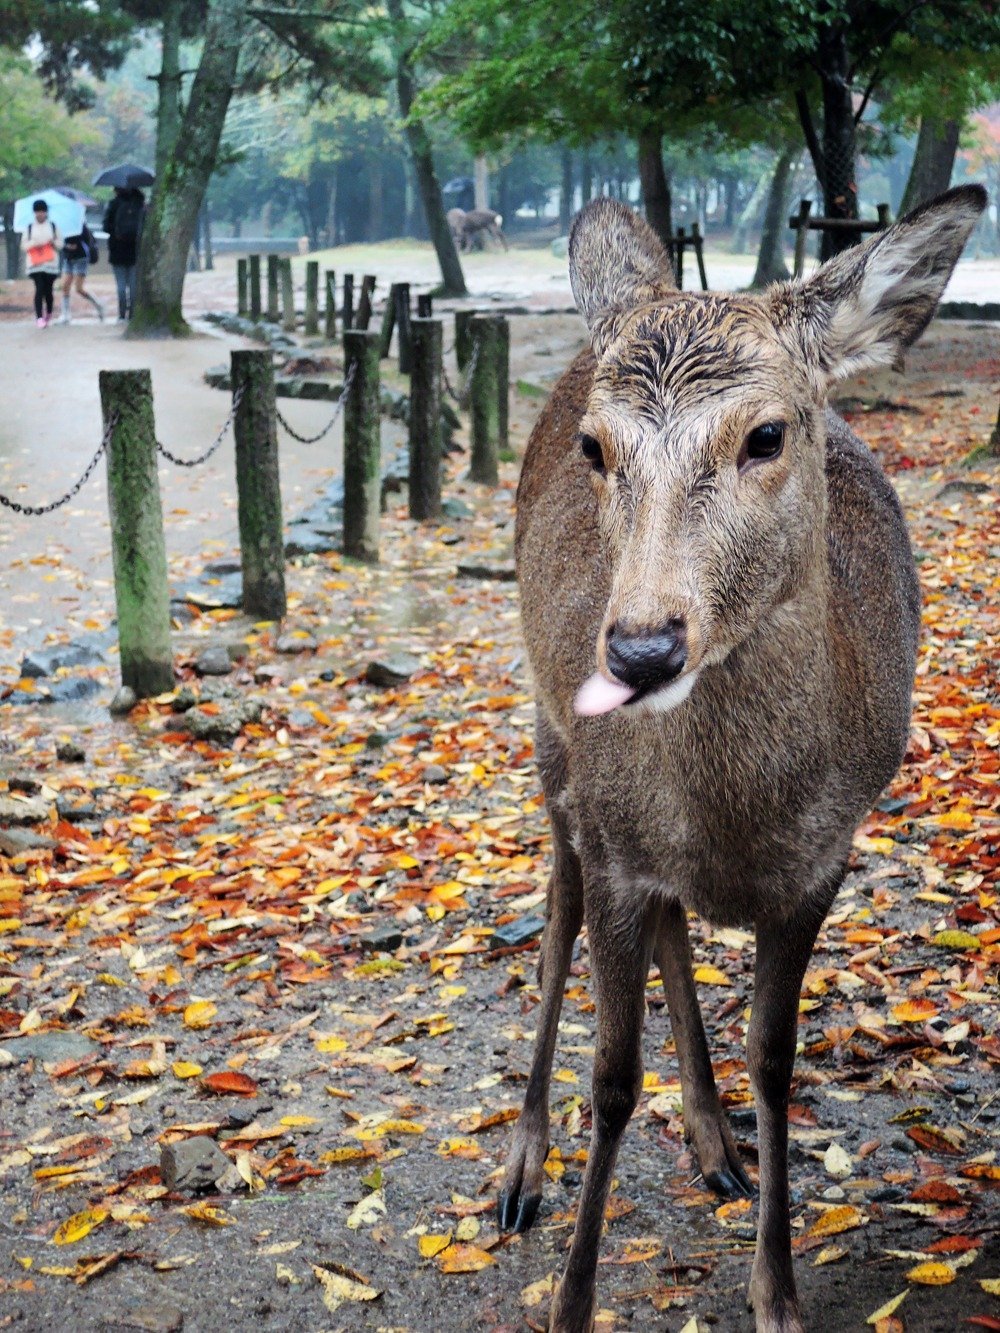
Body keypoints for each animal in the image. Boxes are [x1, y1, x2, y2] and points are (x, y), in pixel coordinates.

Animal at [497, 185, 986, 1332]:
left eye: (766, 433)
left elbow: (775, 1061)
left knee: (673, 929)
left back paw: (714, 1137)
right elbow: (610, 1078)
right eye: (595, 447)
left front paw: (777, 1293)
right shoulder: (615, 842)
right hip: (551, 749)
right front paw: (570, 1302)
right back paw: (523, 1169)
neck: (736, 812)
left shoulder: (820, 862)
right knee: (554, 920)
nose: (639, 648)